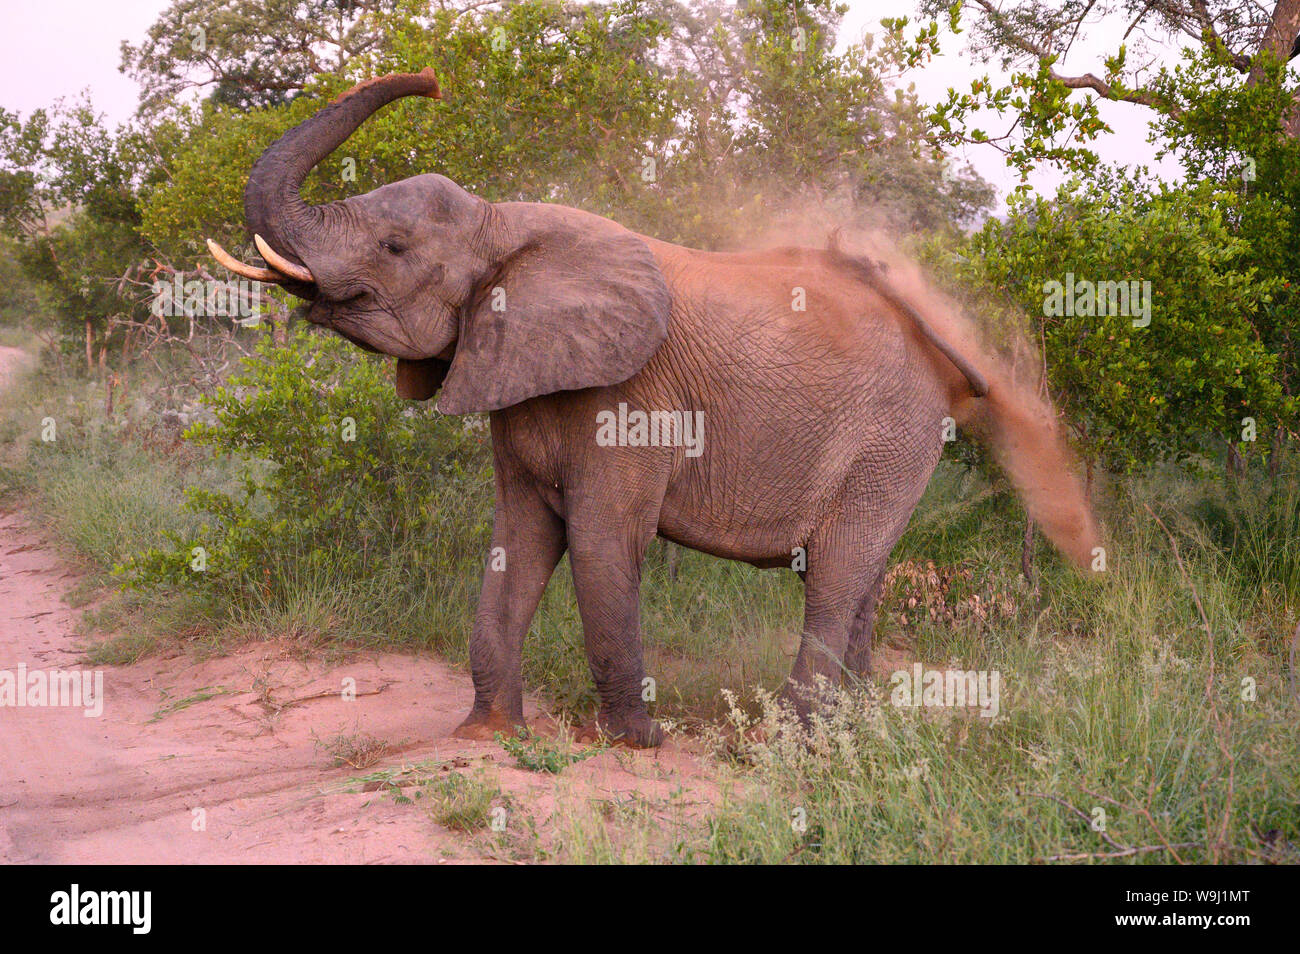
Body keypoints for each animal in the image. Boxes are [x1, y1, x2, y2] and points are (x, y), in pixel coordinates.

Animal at [210, 70, 1097, 748]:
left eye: (394, 250)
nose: (428, 78)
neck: (507, 226)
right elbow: (516, 543)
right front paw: (488, 735)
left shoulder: (627, 399)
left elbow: (603, 544)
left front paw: (634, 743)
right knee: (864, 576)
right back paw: (852, 725)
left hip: (891, 435)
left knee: (837, 572)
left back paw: (790, 744)